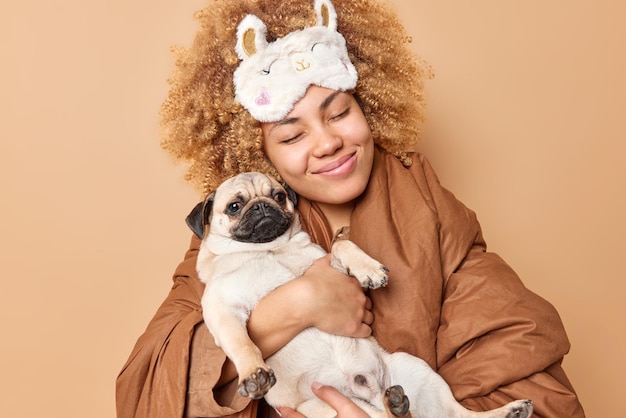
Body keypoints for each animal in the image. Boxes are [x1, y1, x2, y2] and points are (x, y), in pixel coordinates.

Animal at [185, 172, 532, 418]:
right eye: (234, 206)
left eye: (279, 196)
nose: (261, 206)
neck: (272, 249)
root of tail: (370, 391)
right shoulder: (222, 309)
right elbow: (241, 343)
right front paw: (253, 373)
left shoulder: (328, 263)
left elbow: (342, 245)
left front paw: (369, 269)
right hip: (326, 408)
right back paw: (394, 406)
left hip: (416, 369)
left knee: (458, 415)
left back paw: (506, 411)